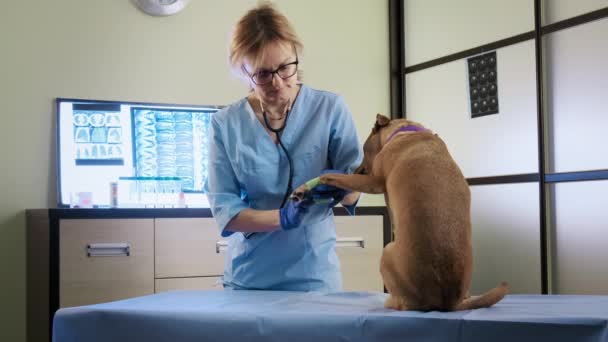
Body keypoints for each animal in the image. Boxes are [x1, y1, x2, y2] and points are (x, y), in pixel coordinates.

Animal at [296, 114, 506, 310]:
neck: (408, 133)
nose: (356, 169)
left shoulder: (373, 182)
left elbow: (330, 176)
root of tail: (448, 301)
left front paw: (305, 187)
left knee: (401, 303)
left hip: (387, 252)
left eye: (364, 149)